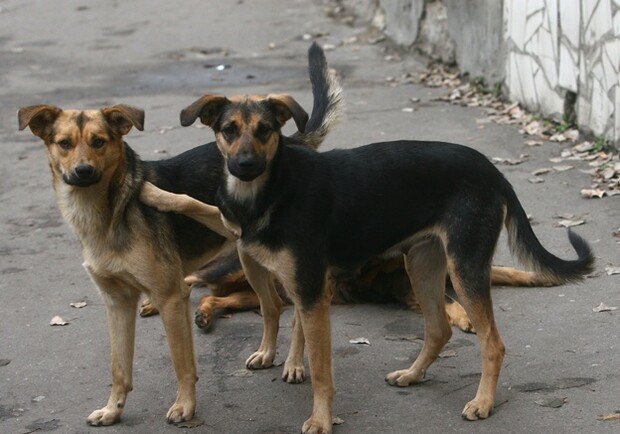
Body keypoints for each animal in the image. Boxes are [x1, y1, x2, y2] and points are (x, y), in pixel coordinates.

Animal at [142, 45, 596, 434]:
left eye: (266, 130)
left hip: (464, 266)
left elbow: (321, 370)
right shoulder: (276, 268)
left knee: (493, 344)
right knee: (439, 329)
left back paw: (482, 402)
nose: (245, 165)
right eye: (228, 129)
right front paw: (153, 194)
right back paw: (412, 374)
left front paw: (321, 419)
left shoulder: (311, 293)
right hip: (423, 265)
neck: (270, 192)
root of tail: (492, 169)